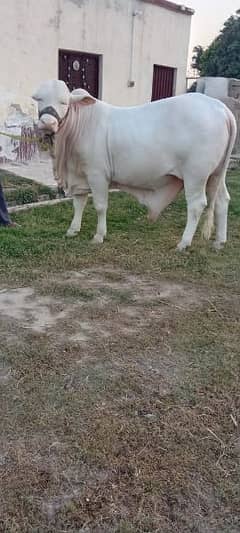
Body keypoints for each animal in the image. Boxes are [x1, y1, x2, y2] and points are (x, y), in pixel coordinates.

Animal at [31, 80, 236, 250]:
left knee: (196, 204)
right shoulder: (79, 174)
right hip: (216, 173)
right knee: (222, 200)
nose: (47, 123)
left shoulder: (97, 174)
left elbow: (100, 206)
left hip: (196, 174)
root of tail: (220, 107)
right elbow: (78, 203)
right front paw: (73, 230)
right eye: (39, 99)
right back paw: (219, 241)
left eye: (64, 102)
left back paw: (184, 243)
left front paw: (99, 235)